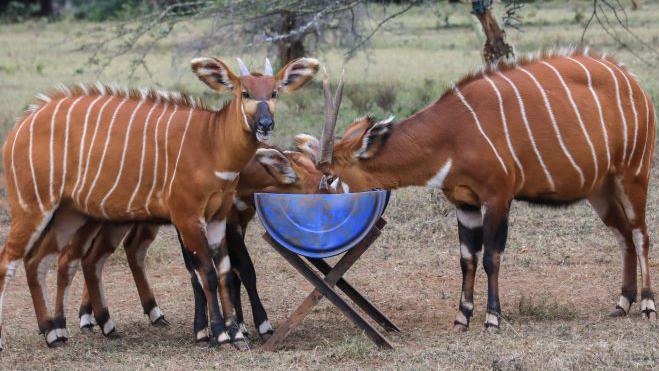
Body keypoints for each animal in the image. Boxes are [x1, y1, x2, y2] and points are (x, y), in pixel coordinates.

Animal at [0, 56, 320, 350]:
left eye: (274, 92)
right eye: (245, 92)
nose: (265, 124)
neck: (211, 142)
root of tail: (19, 126)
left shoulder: (218, 218)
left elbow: (226, 273)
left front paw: (237, 334)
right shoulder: (188, 217)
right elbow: (206, 273)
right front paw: (218, 334)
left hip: (73, 215)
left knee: (45, 261)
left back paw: (56, 331)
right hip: (33, 208)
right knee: (12, 260)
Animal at [298, 48, 656, 332]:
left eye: (329, 178)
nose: (318, 223)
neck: (452, 131)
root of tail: (634, 83)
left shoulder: (497, 198)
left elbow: (491, 258)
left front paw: (492, 319)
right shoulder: (464, 202)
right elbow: (467, 259)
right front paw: (462, 317)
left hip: (633, 175)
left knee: (640, 234)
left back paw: (647, 305)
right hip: (600, 191)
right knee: (624, 236)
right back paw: (622, 303)